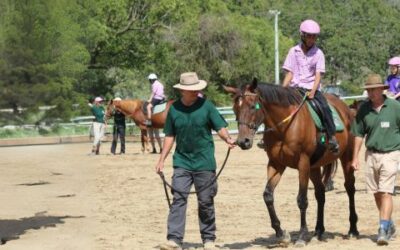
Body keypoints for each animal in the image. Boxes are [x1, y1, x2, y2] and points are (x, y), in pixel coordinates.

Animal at [225, 79, 360, 247]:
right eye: (235, 109)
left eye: (252, 106)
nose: (243, 142)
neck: (285, 127)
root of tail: (347, 109)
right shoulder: (276, 164)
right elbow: (268, 195)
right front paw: (281, 234)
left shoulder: (303, 163)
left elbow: (302, 200)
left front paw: (301, 236)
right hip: (314, 167)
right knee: (320, 193)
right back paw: (318, 231)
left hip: (346, 157)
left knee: (350, 189)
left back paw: (353, 229)